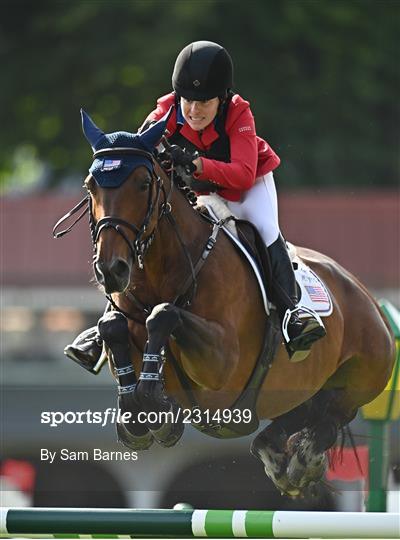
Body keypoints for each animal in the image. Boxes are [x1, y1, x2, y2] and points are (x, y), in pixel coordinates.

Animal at [54, 109, 396, 498]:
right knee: (291, 421)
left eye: (142, 184)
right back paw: (282, 460)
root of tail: (368, 298)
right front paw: (137, 416)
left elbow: (164, 315)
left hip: (360, 379)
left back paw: (302, 464)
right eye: (90, 186)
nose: (111, 270)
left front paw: (155, 407)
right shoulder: (127, 320)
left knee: (330, 416)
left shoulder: (222, 360)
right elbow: (112, 326)